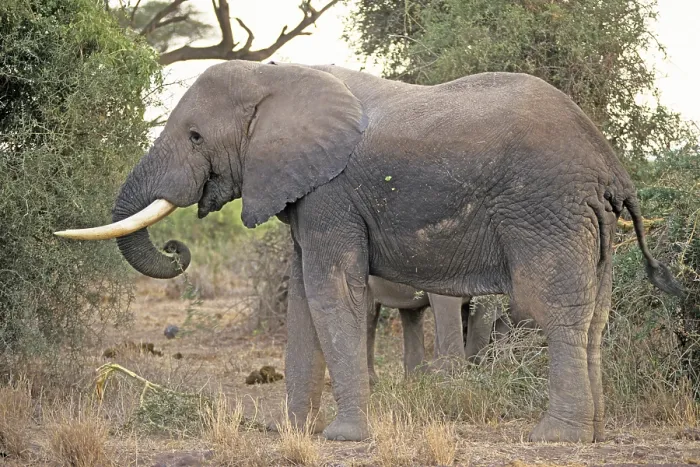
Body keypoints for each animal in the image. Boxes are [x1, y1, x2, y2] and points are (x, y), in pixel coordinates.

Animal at [56, 60, 684, 443]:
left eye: (193, 136)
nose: (176, 247)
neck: (279, 76)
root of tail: (610, 166)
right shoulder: (305, 191)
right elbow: (303, 300)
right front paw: (292, 435)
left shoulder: (330, 191)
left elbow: (331, 292)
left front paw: (344, 438)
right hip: (590, 223)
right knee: (594, 315)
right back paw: (594, 435)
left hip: (547, 209)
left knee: (553, 308)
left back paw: (555, 438)